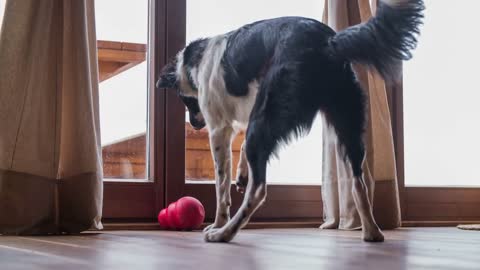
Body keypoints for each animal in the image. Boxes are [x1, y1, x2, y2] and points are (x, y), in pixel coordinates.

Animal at [157, 0, 424, 243]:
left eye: (186, 101)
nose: (195, 125)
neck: (198, 60)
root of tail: (328, 42)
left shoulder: (220, 129)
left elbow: (221, 185)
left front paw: (218, 221)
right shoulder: (248, 112)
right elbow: (239, 150)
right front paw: (242, 173)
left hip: (269, 117)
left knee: (258, 190)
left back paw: (224, 233)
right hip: (345, 127)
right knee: (359, 182)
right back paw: (371, 231)